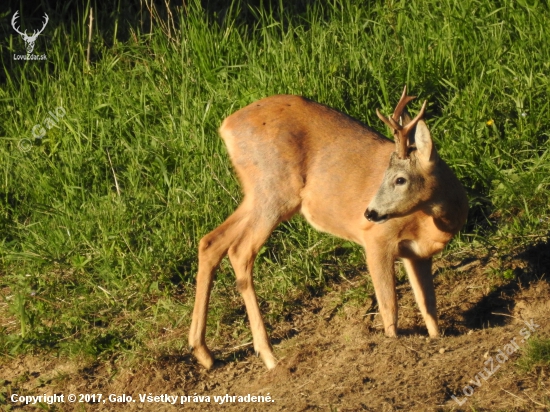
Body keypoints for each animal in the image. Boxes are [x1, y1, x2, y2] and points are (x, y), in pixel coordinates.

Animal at [190, 87, 470, 370]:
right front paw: (393, 345)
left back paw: (203, 352)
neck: (433, 224)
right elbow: (389, 305)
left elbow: (428, 304)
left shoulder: (417, 254)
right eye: (387, 176)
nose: (369, 213)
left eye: (400, 179)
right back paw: (268, 355)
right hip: (274, 191)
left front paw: (436, 340)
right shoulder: (377, 239)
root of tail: (226, 126)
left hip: (256, 195)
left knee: (211, 241)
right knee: (240, 251)